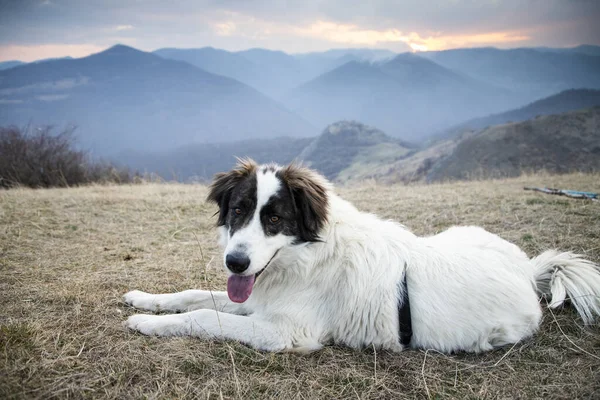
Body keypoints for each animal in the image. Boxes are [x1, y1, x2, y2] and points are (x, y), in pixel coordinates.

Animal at [123, 159, 600, 354]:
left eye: (274, 218)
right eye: (239, 210)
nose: (235, 263)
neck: (306, 258)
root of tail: (527, 269)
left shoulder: (285, 331)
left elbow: (205, 316)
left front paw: (147, 324)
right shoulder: (257, 299)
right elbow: (193, 295)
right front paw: (145, 301)